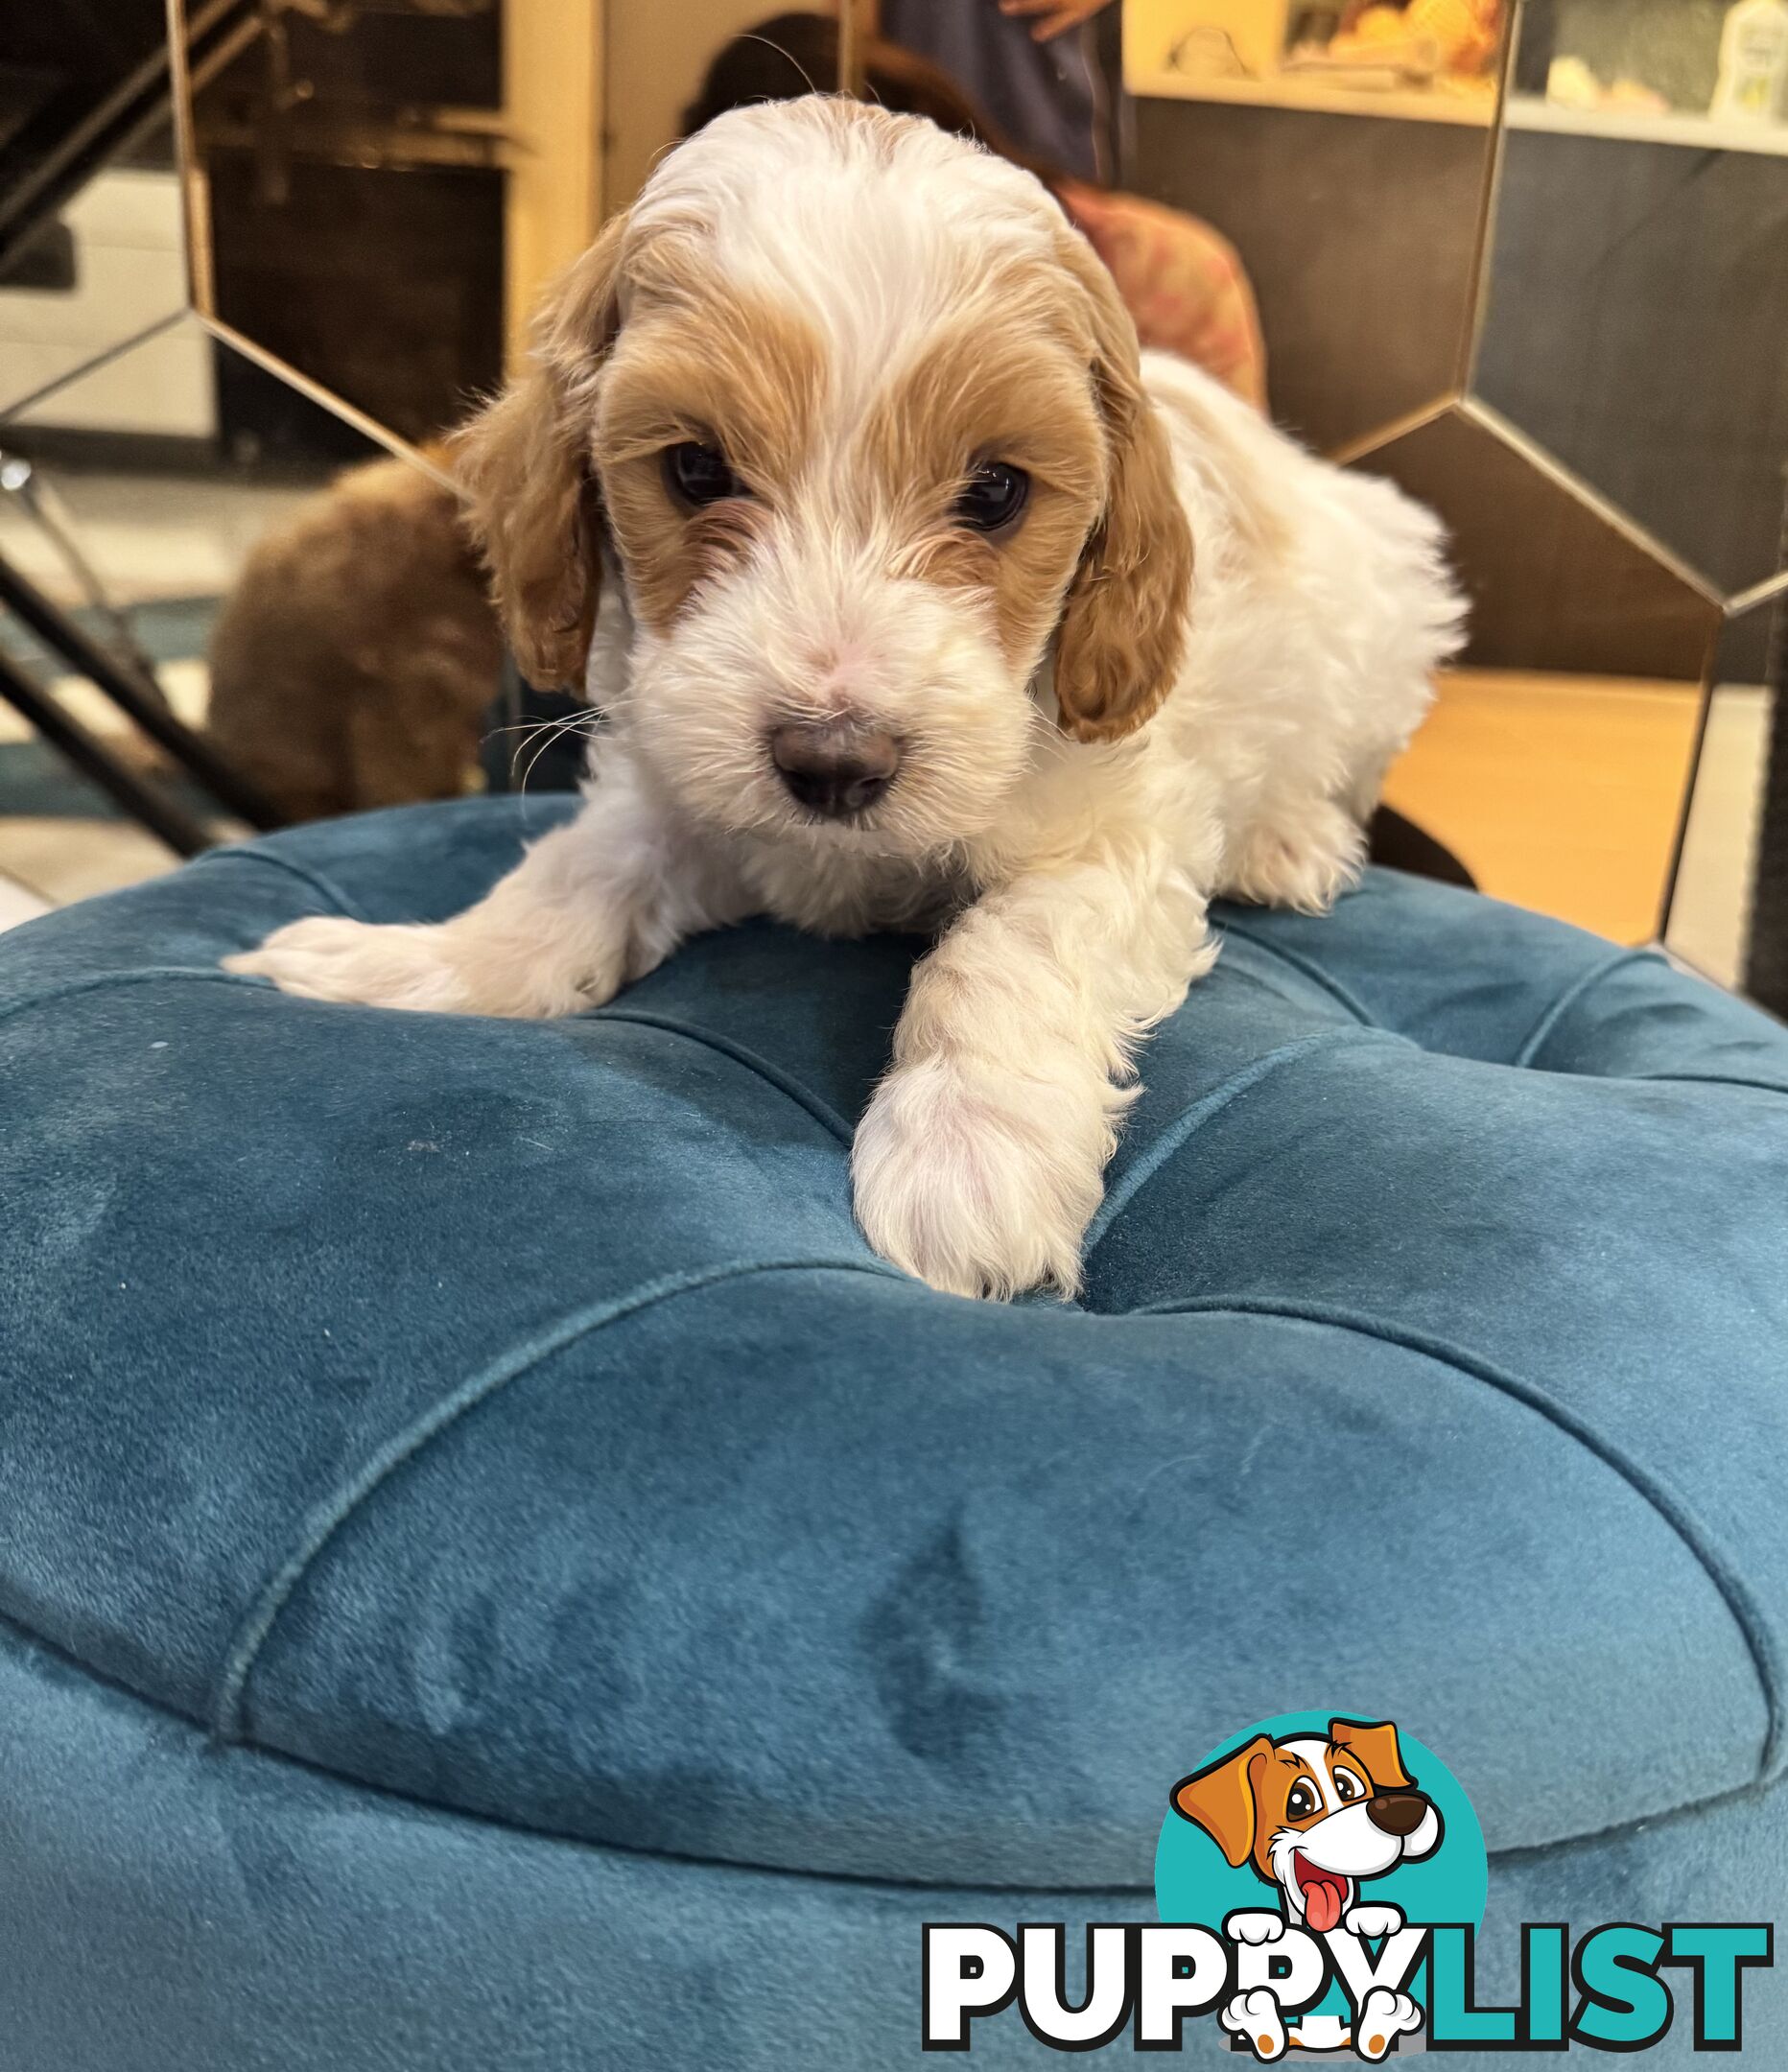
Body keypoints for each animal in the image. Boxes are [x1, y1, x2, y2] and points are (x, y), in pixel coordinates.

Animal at [226, 101, 1458, 1292]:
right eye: (694, 470)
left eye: (996, 491)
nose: (833, 762)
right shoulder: (679, 784)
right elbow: (566, 879)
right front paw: (405, 964)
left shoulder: (1113, 829)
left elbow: (1005, 949)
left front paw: (968, 1150)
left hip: (1390, 610)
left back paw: (1288, 842)